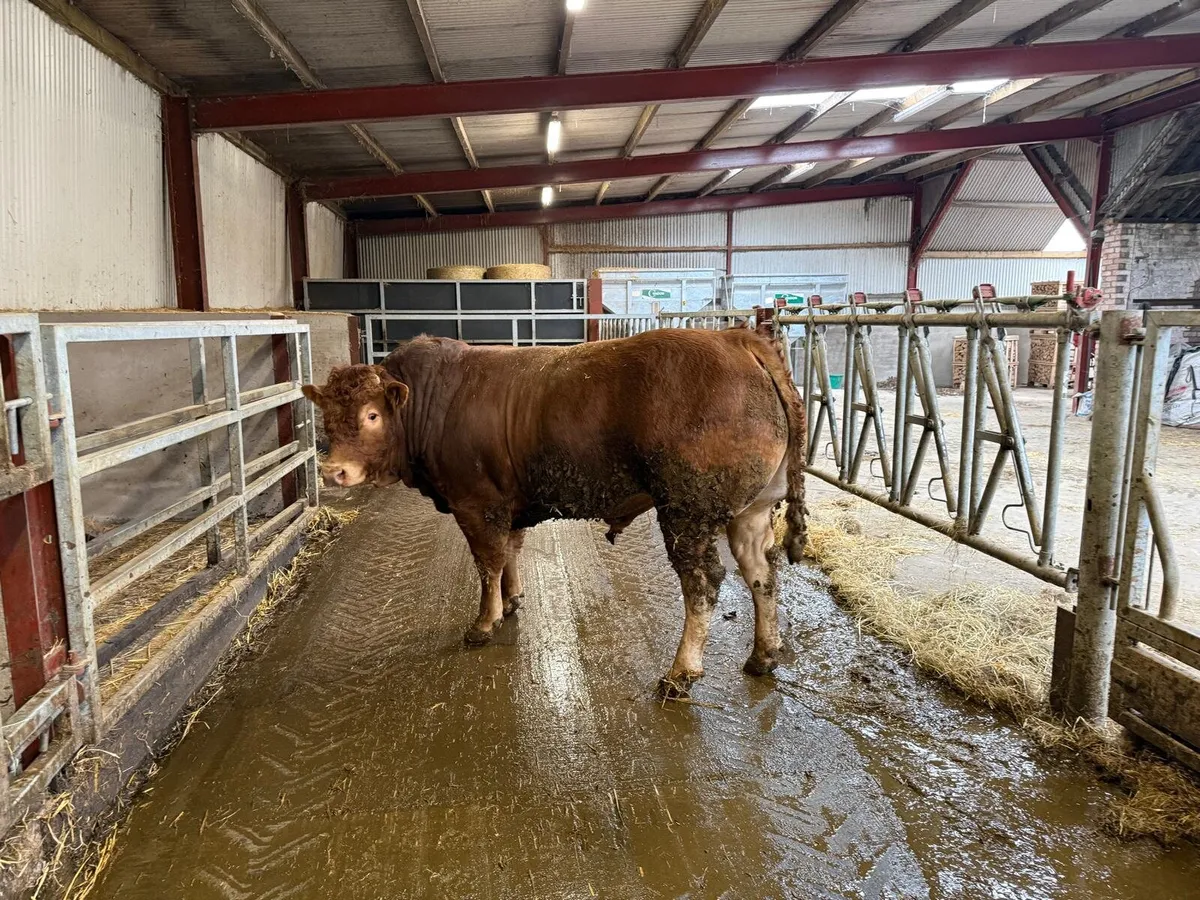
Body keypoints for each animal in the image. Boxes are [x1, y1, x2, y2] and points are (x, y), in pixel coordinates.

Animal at [302, 328, 806, 695]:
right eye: (327, 417)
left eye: (371, 415)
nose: (334, 471)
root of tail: (736, 337)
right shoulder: (508, 505)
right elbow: (510, 551)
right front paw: (512, 600)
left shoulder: (476, 504)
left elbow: (487, 562)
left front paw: (484, 622)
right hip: (752, 510)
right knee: (761, 574)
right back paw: (763, 655)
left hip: (687, 511)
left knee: (703, 583)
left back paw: (681, 672)